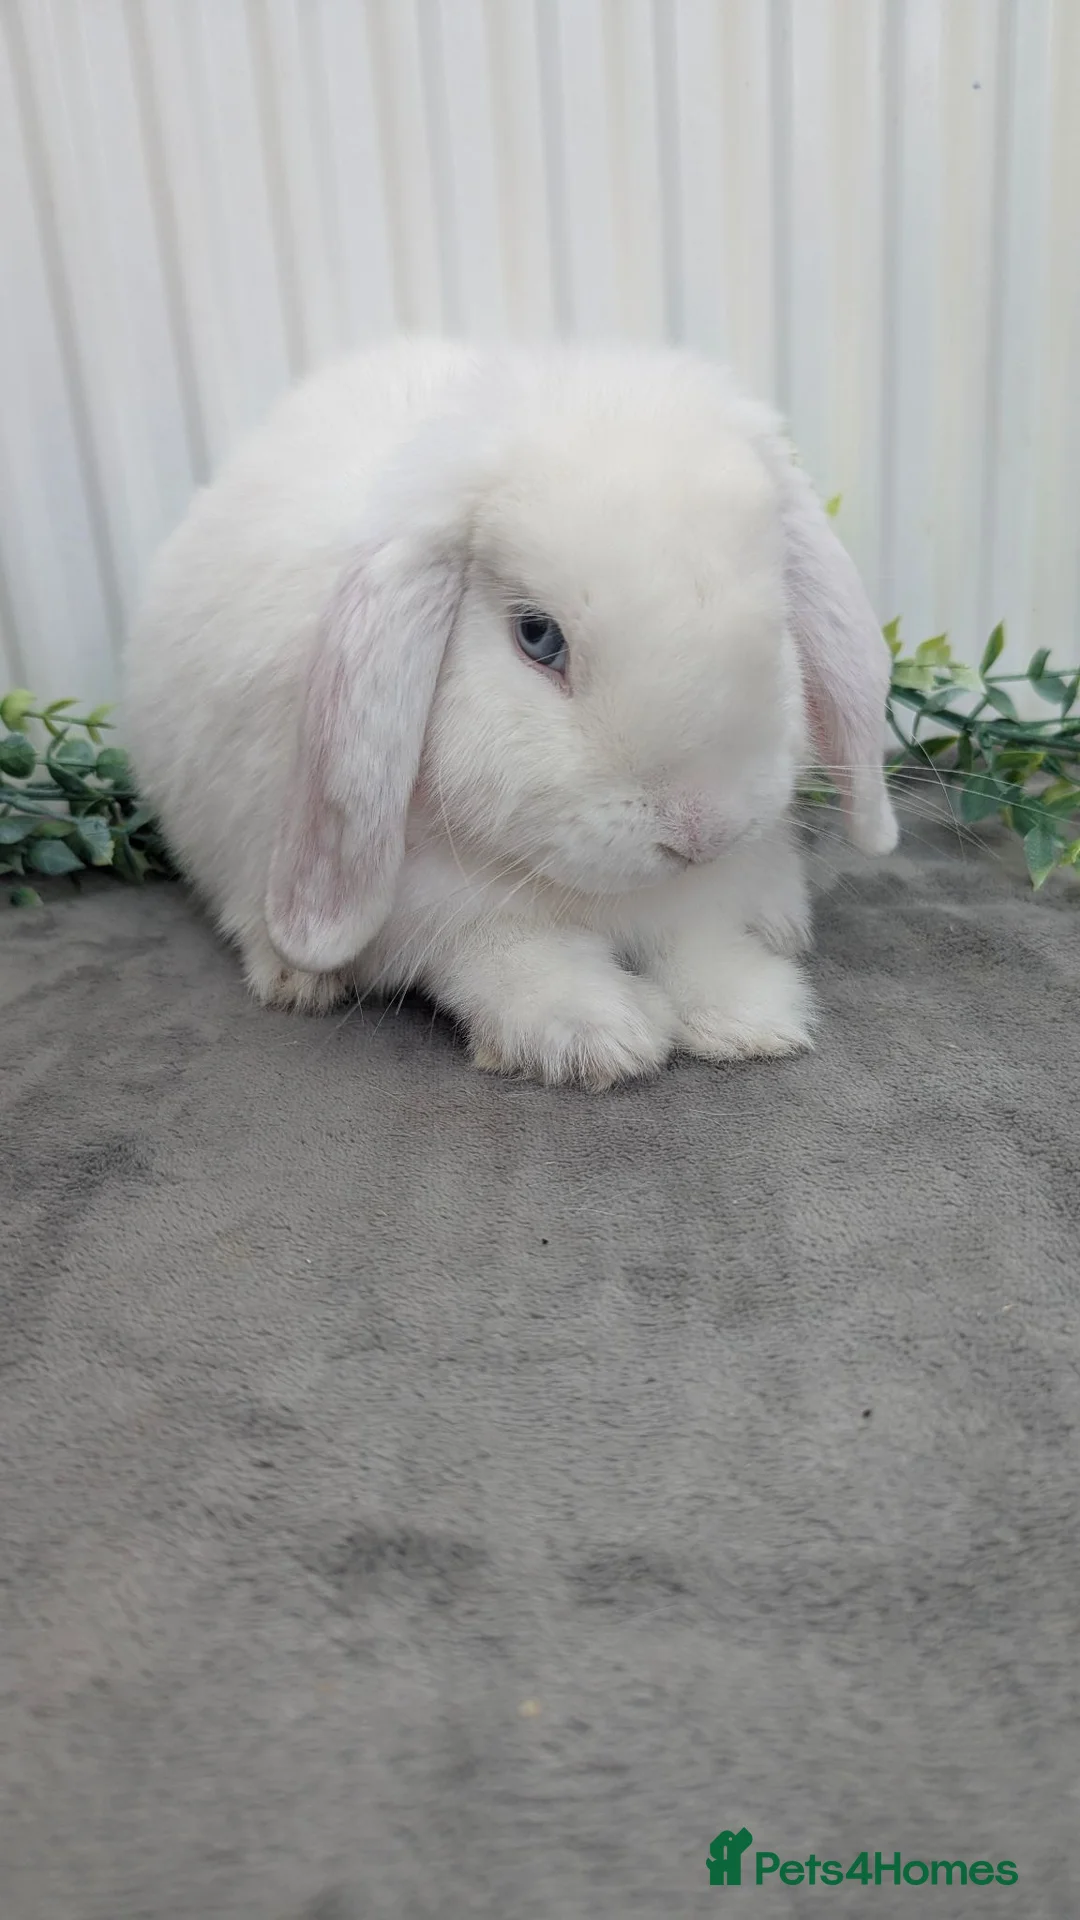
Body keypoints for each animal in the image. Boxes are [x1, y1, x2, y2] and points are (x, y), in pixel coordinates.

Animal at [123, 336, 897, 1088]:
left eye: (776, 620)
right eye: (537, 636)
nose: (701, 832)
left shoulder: (698, 897)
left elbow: (697, 946)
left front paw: (751, 1019)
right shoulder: (438, 916)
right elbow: (512, 957)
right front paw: (599, 1036)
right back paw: (296, 980)